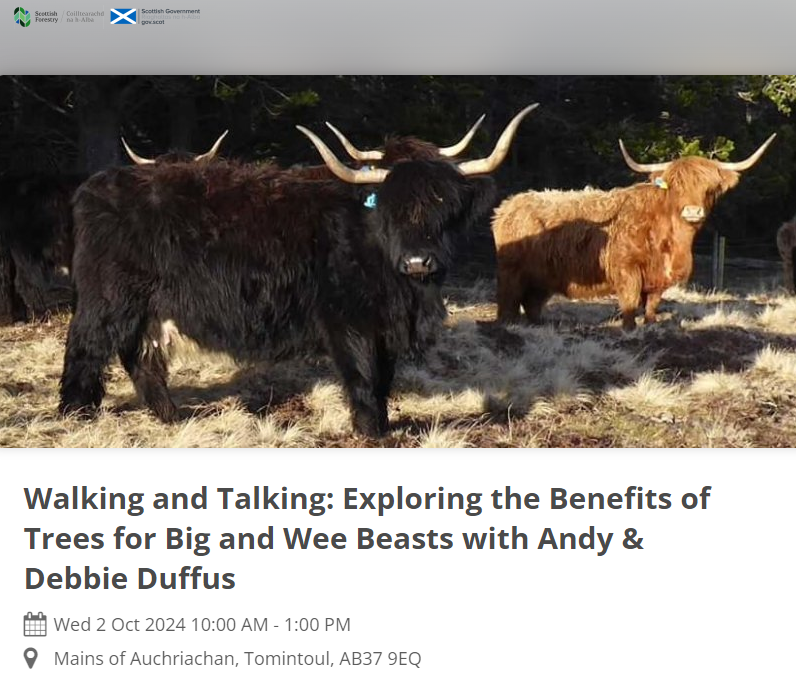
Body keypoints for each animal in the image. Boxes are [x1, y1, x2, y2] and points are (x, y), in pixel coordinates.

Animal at [60, 105, 536, 432]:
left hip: (149, 309)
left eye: (442, 205)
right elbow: (362, 375)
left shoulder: (385, 325)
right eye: (390, 206)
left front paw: (383, 424)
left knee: (141, 357)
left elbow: (384, 376)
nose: (419, 261)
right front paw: (371, 430)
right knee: (85, 348)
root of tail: (95, 185)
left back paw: (172, 416)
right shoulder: (346, 320)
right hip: (107, 300)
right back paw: (74, 415)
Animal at [494, 136, 776, 330]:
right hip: (510, 271)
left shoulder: (658, 278)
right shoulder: (626, 269)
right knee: (508, 301)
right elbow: (629, 303)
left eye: (709, 188)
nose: (693, 212)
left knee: (531, 302)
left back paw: (537, 325)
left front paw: (650, 325)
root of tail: (508, 204)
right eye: (676, 186)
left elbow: (651, 304)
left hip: (540, 277)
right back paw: (508, 326)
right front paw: (629, 329)